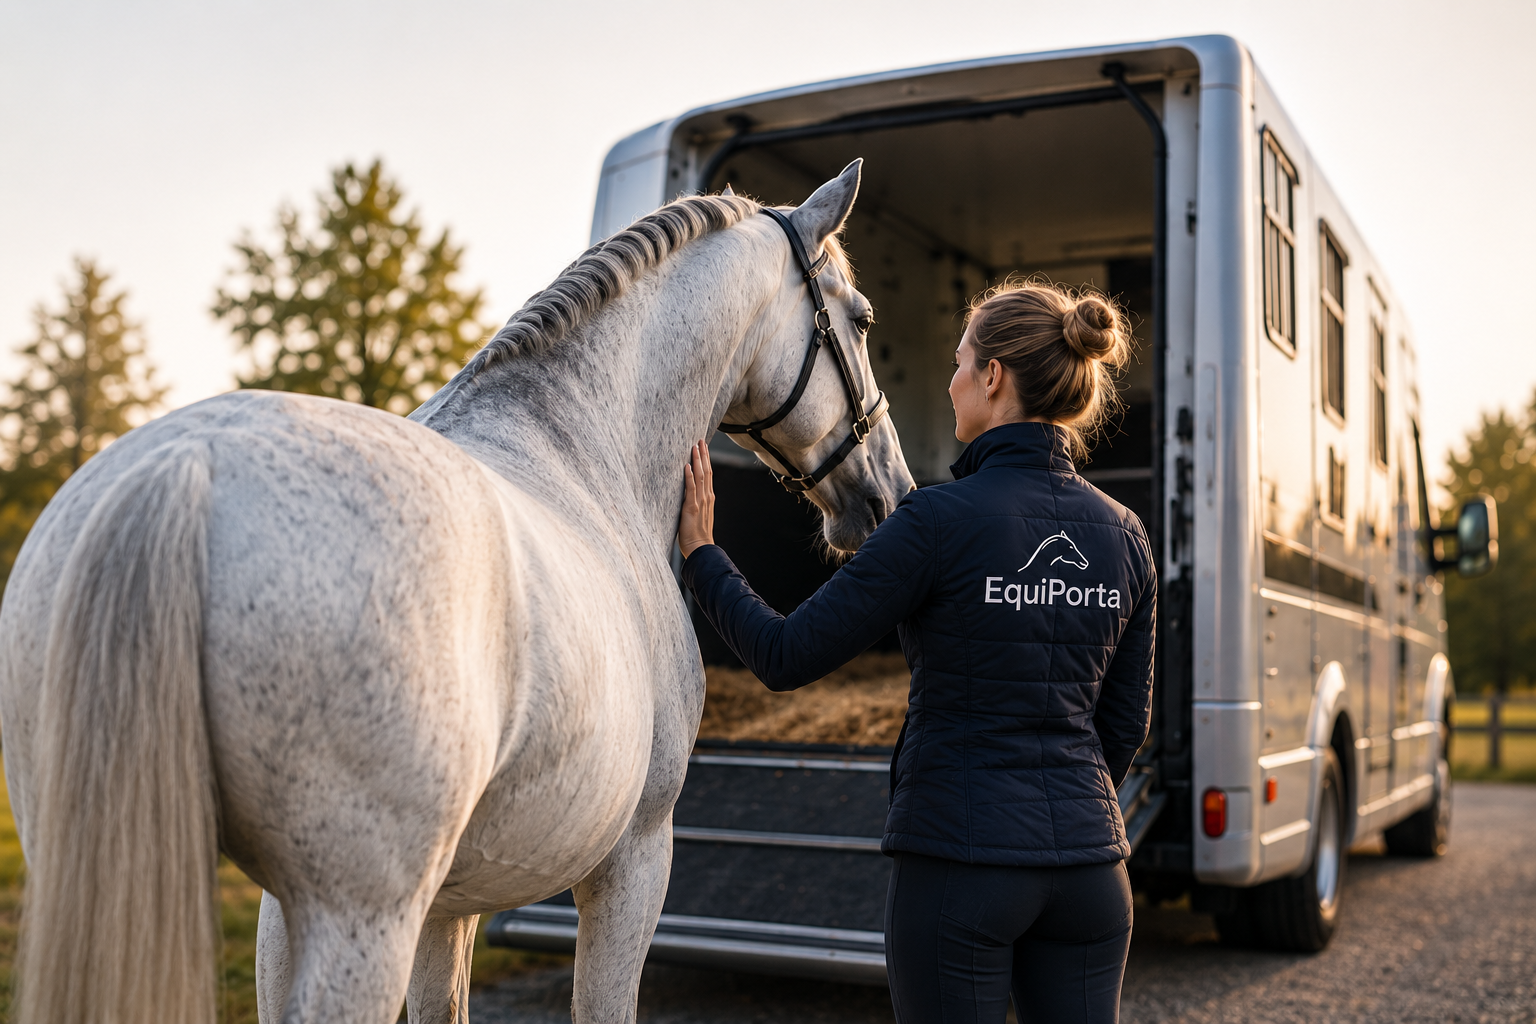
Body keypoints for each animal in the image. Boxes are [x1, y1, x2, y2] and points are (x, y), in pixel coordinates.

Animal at [0, 160, 914, 1024]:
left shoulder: (450, 901)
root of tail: (183, 469)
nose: (888, 495)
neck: (585, 444)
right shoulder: (634, 859)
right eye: (864, 318)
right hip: (358, 919)